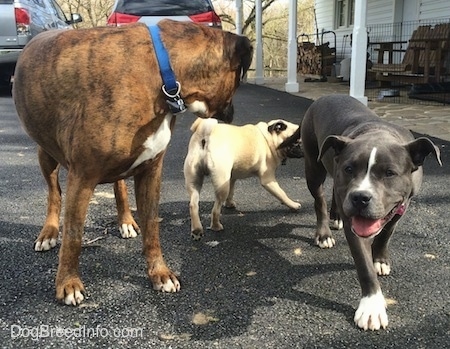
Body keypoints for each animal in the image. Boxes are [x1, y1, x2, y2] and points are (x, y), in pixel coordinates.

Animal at [13, 20, 253, 306]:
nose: (232, 113)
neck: (165, 76)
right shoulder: (82, 177)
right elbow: (73, 235)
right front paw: (68, 283)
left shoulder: (151, 172)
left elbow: (152, 228)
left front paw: (160, 273)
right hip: (46, 154)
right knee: (53, 194)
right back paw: (48, 233)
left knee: (119, 186)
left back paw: (126, 220)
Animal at [300, 94, 442, 328]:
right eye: (349, 168)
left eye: (390, 173)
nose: (360, 197)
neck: (378, 135)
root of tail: (325, 96)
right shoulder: (355, 226)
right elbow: (364, 266)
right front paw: (371, 307)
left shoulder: (402, 207)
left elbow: (386, 234)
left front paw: (380, 260)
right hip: (313, 166)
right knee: (319, 200)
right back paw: (323, 234)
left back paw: (336, 217)